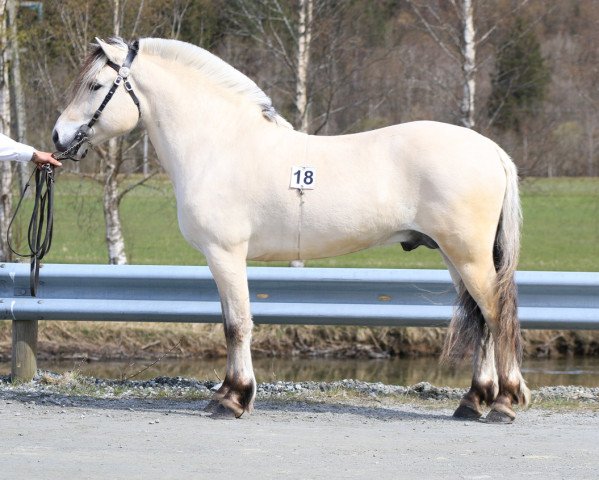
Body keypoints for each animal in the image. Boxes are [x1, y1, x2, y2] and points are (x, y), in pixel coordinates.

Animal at [51, 38, 528, 420]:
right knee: (483, 320)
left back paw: (503, 403)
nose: (57, 137)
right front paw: (225, 393)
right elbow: (229, 322)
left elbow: (237, 324)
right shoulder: (222, 259)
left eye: (95, 86)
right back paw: (473, 401)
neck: (218, 144)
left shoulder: (225, 254)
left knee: (496, 316)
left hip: (467, 255)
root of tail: (491, 150)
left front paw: (234, 399)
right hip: (455, 257)